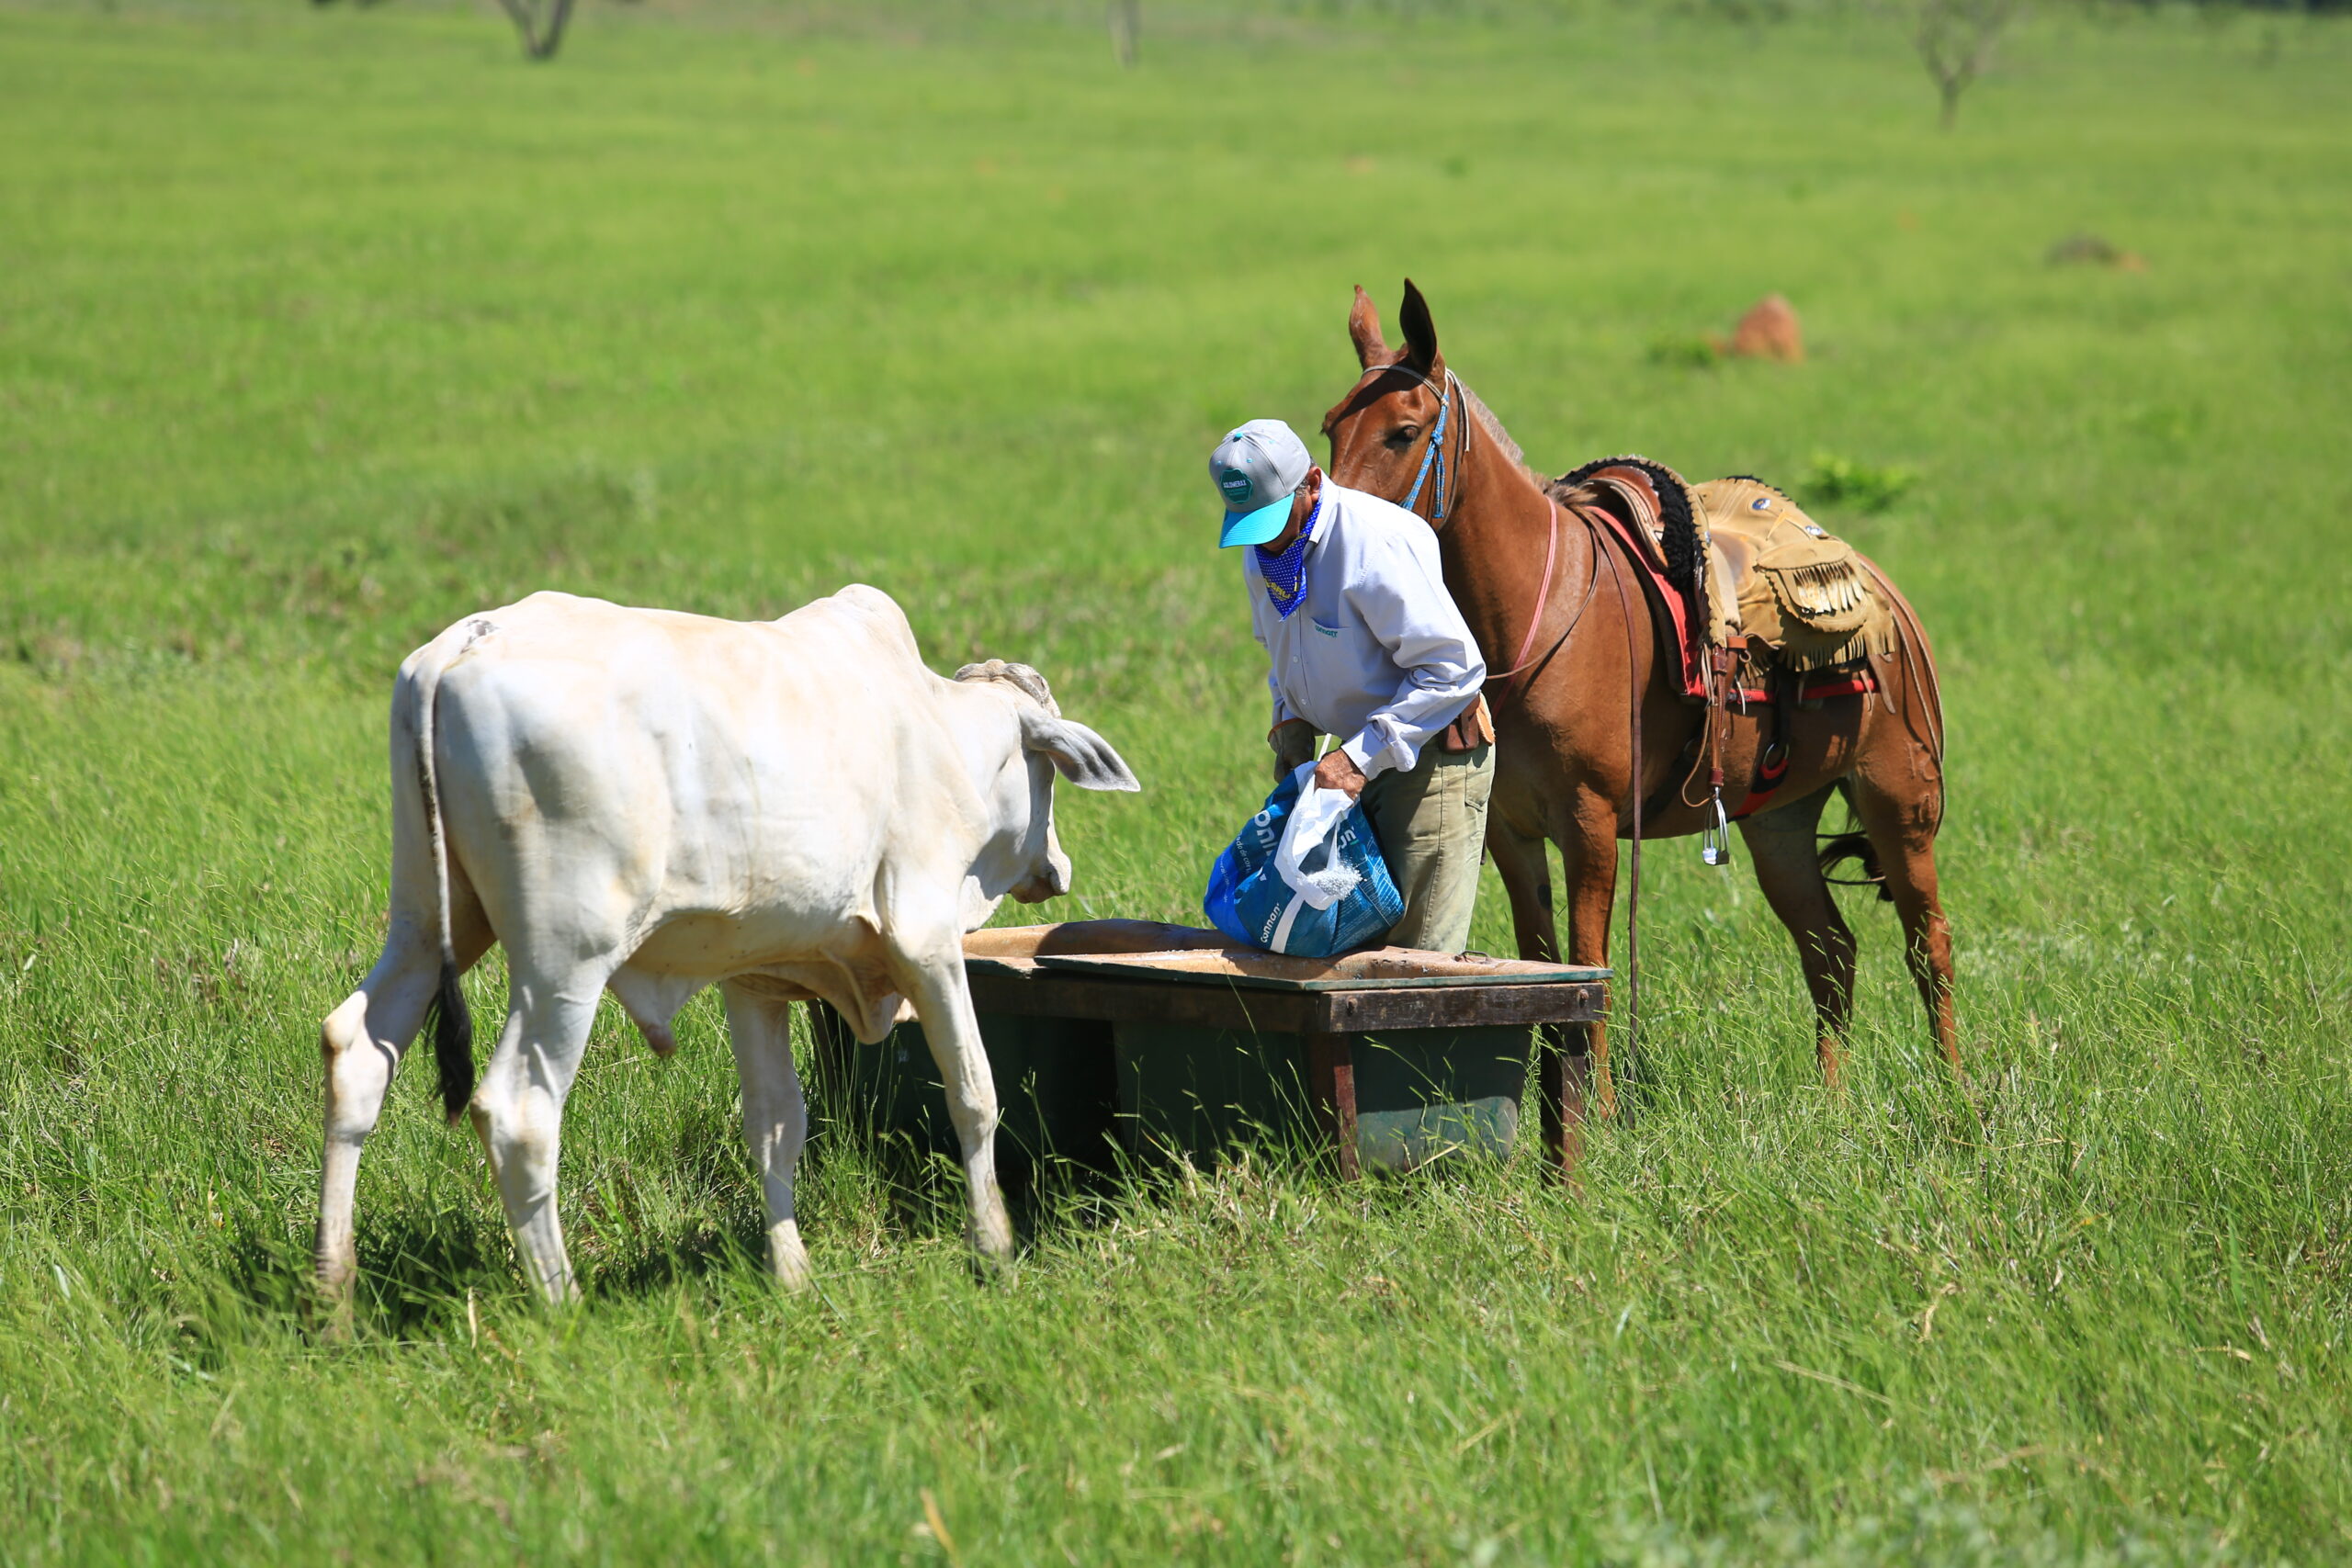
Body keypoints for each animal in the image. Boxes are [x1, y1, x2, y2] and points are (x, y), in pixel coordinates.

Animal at [312, 585, 1138, 1297]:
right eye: (1048, 775)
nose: (1056, 867)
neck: (940, 733)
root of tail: (469, 638)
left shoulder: (756, 980)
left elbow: (775, 1126)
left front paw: (792, 1274)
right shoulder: (925, 941)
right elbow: (974, 1092)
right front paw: (993, 1246)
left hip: (428, 921)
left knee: (356, 1052)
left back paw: (334, 1295)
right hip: (564, 960)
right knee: (518, 1110)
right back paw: (562, 1301)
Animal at [1317, 278, 1956, 1152]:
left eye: (1404, 431)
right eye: (1330, 427)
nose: (1329, 535)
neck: (1537, 606)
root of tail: (1885, 593)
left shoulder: (1589, 826)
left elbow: (1592, 966)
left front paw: (1600, 1116)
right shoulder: (1511, 833)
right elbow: (1542, 964)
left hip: (1898, 803)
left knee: (1929, 946)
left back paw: (1958, 1095)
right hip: (1780, 823)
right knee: (1831, 950)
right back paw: (1833, 1100)